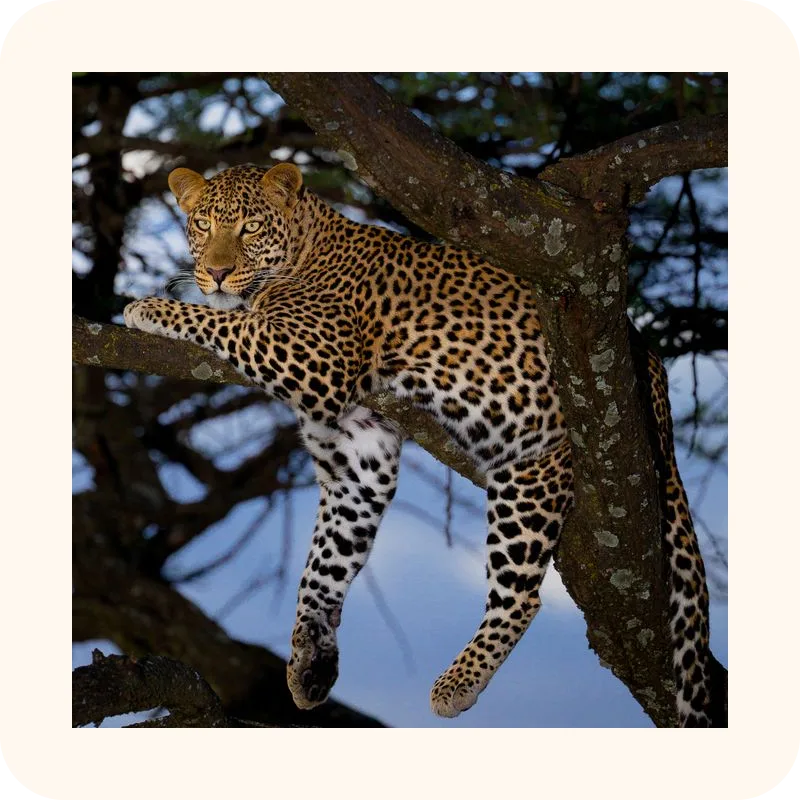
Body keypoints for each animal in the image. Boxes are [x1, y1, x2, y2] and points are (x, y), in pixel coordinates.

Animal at [123, 162, 713, 726]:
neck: (303, 246)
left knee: (521, 594)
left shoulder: (312, 353)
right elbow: (323, 565)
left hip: (533, 473)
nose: (218, 272)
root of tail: (652, 373)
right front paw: (309, 660)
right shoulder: (358, 455)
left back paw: (458, 682)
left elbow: (223, 322)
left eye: (248, 227)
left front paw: (148, 308)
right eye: (203, 224)